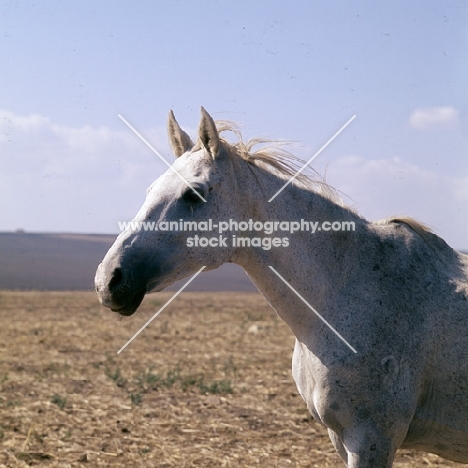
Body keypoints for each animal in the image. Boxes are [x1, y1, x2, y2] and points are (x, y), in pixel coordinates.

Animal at [95, 108, 468, 466]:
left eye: (193, 193)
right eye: (150, 190)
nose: (107, 280)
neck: (349, 289)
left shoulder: (372, 438)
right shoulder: (342, 439)